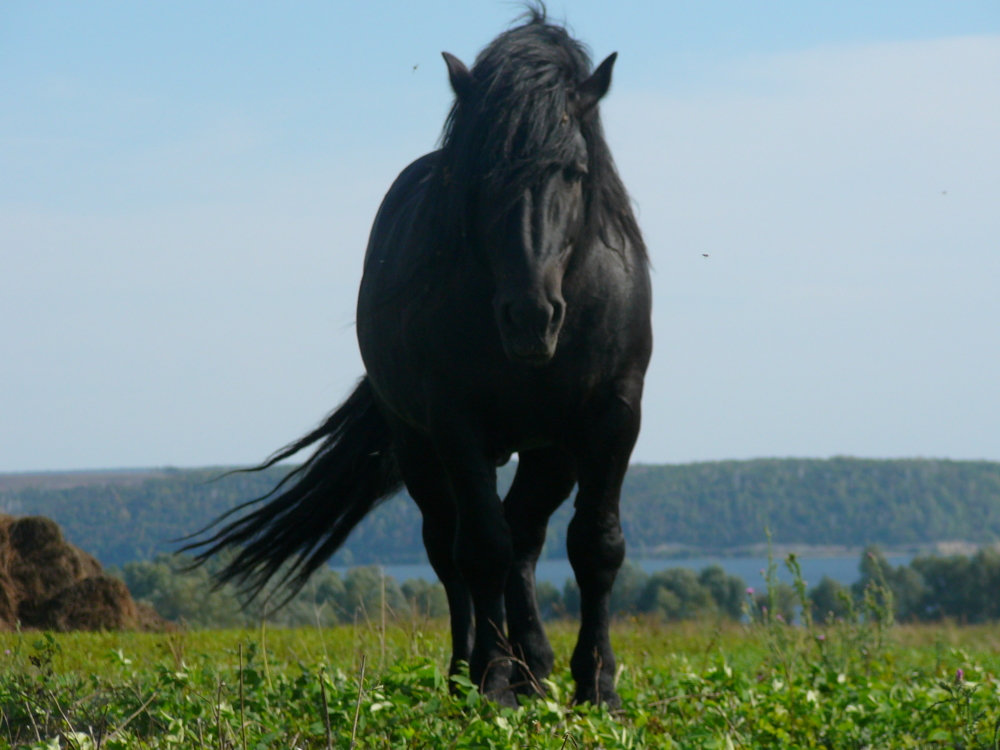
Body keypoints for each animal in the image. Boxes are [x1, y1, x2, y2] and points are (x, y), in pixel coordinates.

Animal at [191, 8, 652, 708]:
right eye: (481, 175)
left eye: (574, 171)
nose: (530, 316)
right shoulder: (455, 425)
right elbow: (481, 548)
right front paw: (492, 683)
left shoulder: (612, 417)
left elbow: (595, 546)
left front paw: (598, 686)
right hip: (420, 448)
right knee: (453, 548)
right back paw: (472, 671)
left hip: (550, 450)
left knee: (526, 537)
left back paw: (537, 666)